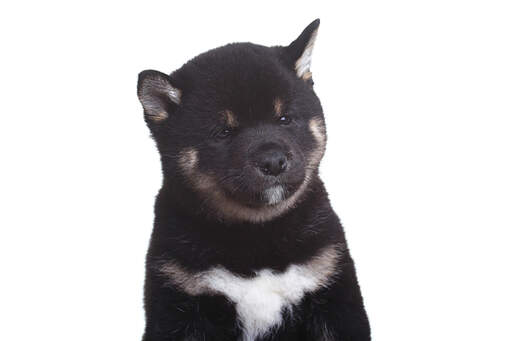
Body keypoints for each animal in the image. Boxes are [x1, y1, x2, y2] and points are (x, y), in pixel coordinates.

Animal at [136, 19, 370, 340]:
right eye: (224, 132)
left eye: (284, 119)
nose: (273, 161)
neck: (256, 234)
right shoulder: (179, 299)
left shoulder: (331, 289)